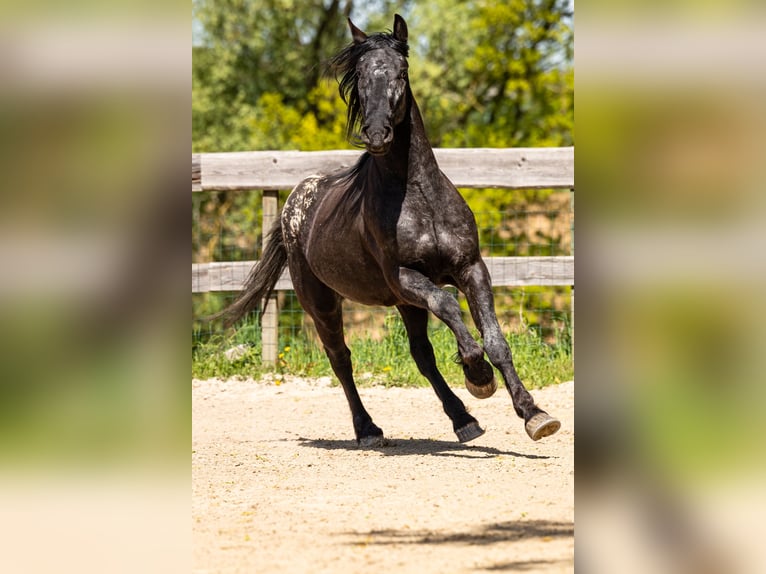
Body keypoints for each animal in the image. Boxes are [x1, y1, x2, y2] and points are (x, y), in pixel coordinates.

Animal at [220, 14, 561, 446]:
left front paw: (535, 415)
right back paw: (368, 430)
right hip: (324, 302)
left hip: (404, 303)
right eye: (361, 76)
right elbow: (448, 305)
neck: (418, 198)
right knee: (341, 359)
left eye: (401, 72)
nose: (377, 134)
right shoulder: (403, 277)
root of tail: (293, 203)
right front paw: (479, 375)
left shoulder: (470, 268)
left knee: (421, 356)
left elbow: (496, 340)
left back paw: (464, 421)